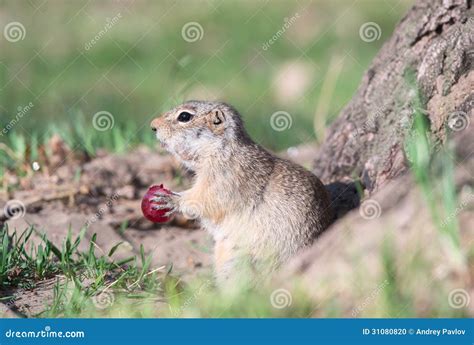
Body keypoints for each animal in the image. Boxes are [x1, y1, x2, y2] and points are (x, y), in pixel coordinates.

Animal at [150, 100, 332, 284]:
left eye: (184, 116)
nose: (153, 126)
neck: (220, 150)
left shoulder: (224, 180)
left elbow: (203, 200)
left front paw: (170, 199)